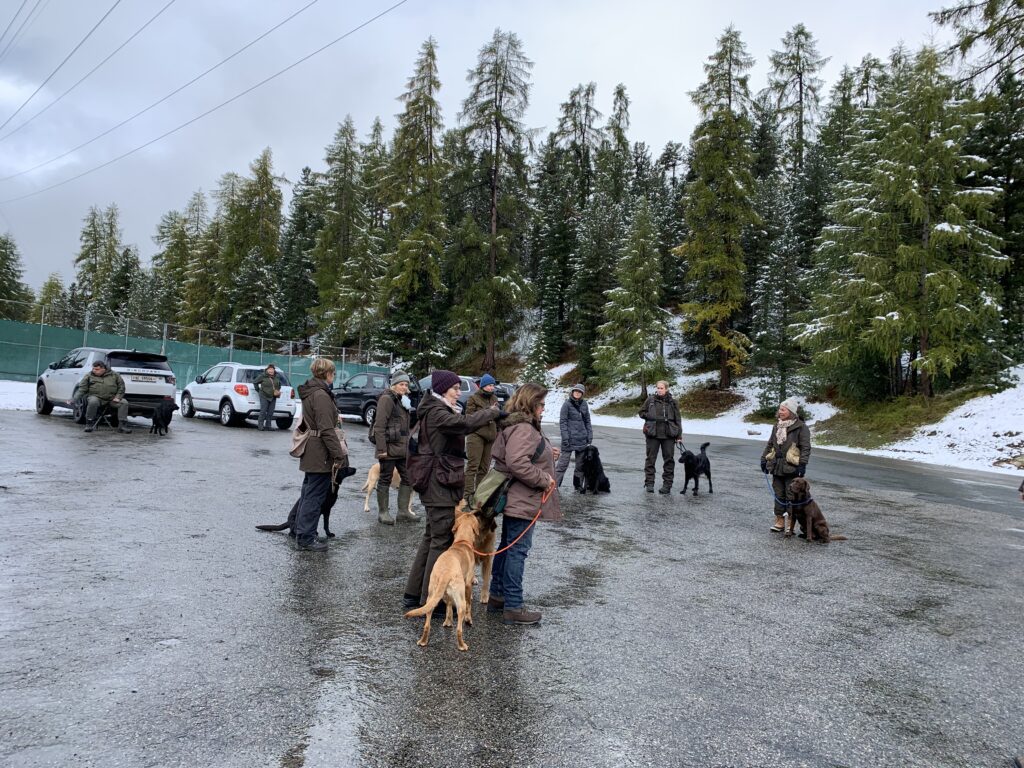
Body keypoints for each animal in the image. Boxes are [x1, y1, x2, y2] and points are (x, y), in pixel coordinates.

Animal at [404, 504, 481, 651]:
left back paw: (423, 641)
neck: (462, 542)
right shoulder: (468, 584)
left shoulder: (447, 596)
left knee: (427, 623)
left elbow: (449, 608)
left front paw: (447, 622)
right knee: (459, 629)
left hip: (431, 597)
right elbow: (469, 605)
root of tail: (446, 573)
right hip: (460, 601)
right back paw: (462, 645)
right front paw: (469, 620)